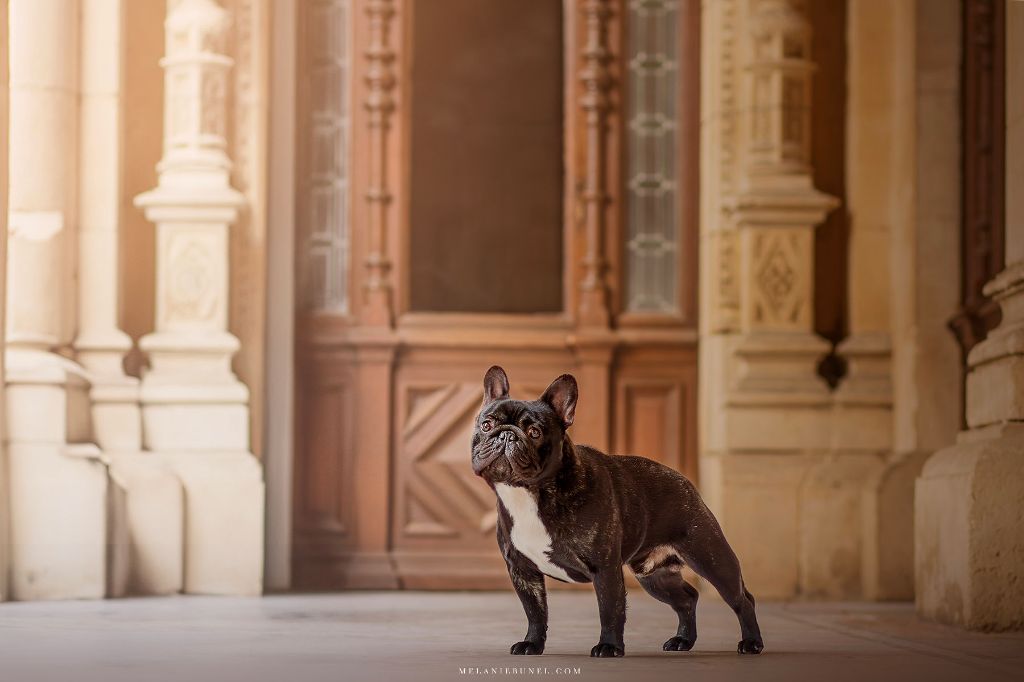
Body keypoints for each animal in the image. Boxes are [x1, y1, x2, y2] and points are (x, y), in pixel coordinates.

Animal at [471, 364, 761, 655]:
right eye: (486, 425)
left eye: (534, 432)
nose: (505, 434)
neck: (529, 493)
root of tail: (686, 482)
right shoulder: (523, 571)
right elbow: (535, 612)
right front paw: (532, 643)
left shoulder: (605, 568)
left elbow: (610, 609)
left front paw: (609, 646)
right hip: (655, 576)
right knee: (687, 598)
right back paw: (683, 640)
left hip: (711, 557)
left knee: (741, 598)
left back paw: (752, 642)